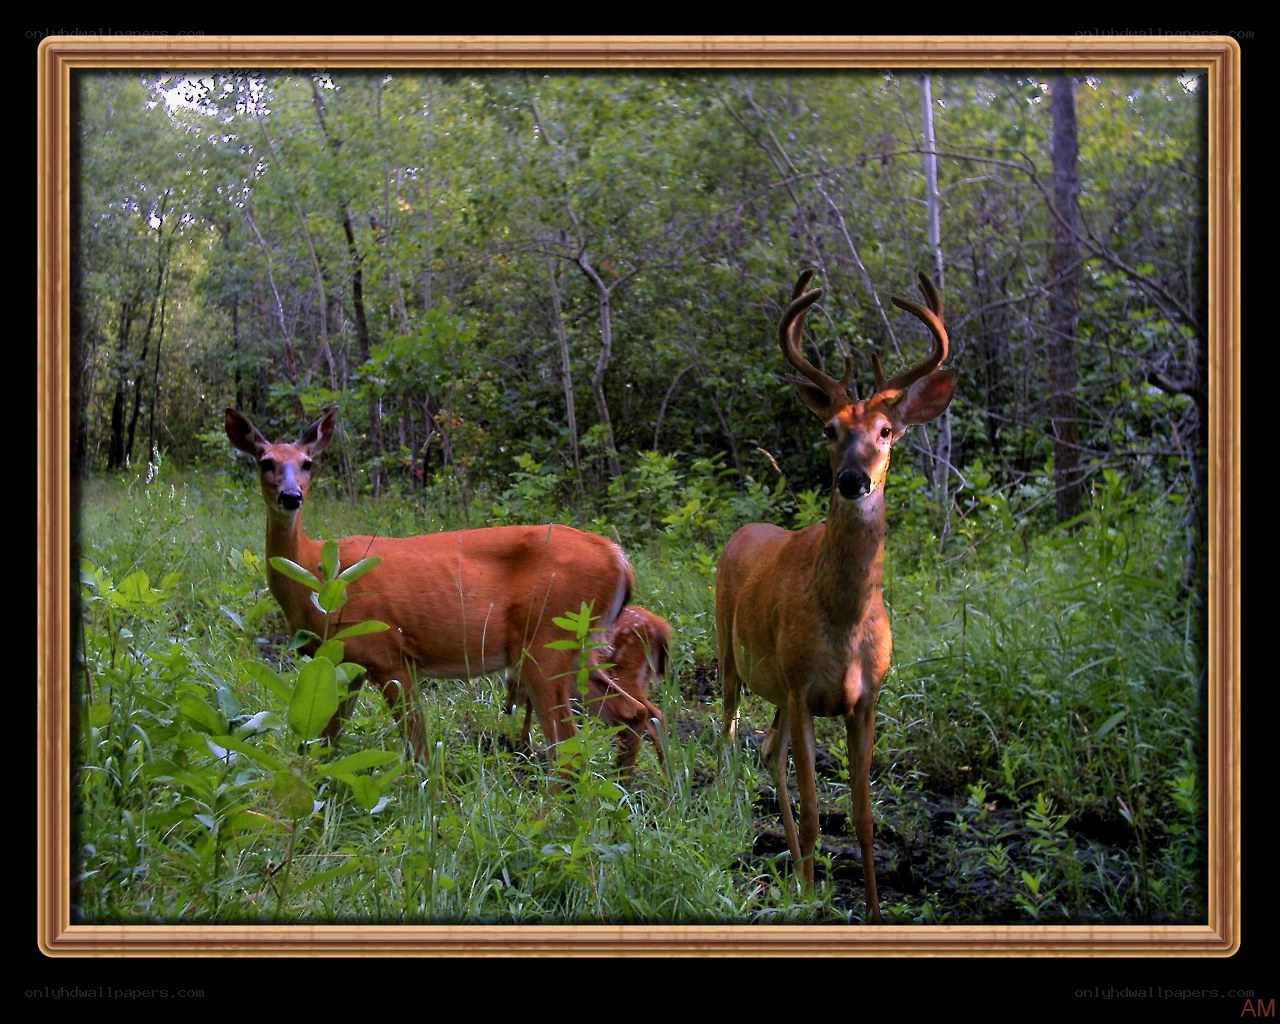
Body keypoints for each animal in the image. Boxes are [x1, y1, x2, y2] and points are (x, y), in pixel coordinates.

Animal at [225, 406, 635, 767]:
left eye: (308, 462)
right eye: (265, 461)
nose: (290, 496)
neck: (317, 572)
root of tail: (619, 559)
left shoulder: (388, 653)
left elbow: (418, 748)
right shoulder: (344, 662)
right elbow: (326, 743)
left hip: (545, 641)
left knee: (569, 750)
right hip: (576, 648)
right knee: (632, 711)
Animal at [504, 604, 672, 781]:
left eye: (513, 685)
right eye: (507, 683)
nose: (507, 707)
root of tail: (662, 629)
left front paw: (525, 748)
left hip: (626, 675)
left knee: (645, 714)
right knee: (654, 715)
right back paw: (665, 778)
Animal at [716, 269, 957, 924]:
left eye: (886, 431)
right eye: (830, 430)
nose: (854, 479)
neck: (844, 620)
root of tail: (745, 532)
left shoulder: (864, 698)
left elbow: (864, 818)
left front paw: (871, 911)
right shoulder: (803, 690)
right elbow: (817, 813)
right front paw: (807, 898)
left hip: (775, 689)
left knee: (767, 751)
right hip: (730, 651)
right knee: (730, 736)